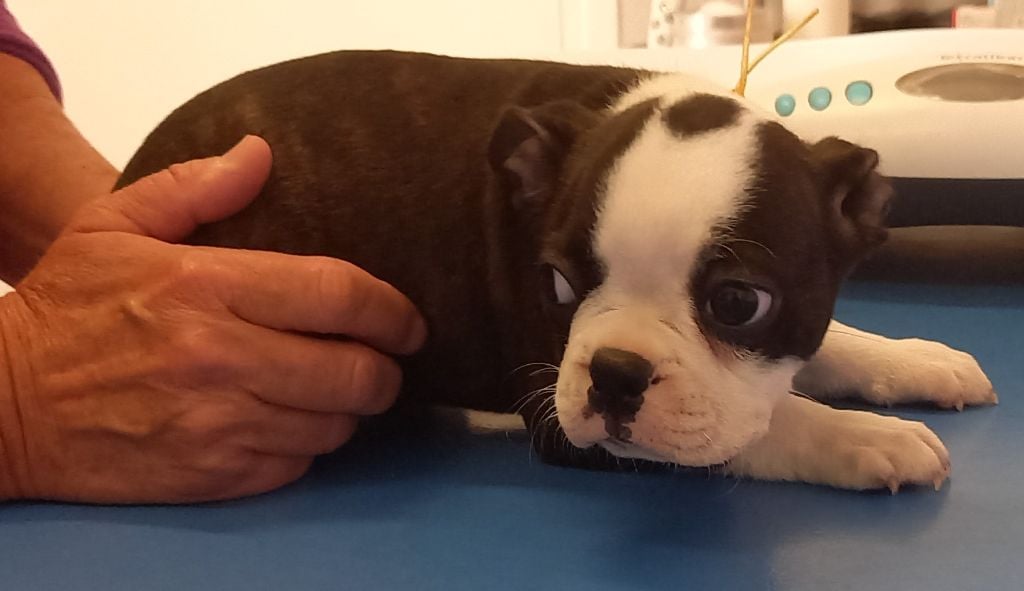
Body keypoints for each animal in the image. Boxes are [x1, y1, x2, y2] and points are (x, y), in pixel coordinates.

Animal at [116, 50, 996, 492]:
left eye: (738, 302)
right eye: (560, 284)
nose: (614, 372)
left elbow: (827, 341)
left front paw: (915, 358)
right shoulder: (568, 416)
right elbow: (770, 422)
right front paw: (866, 437)